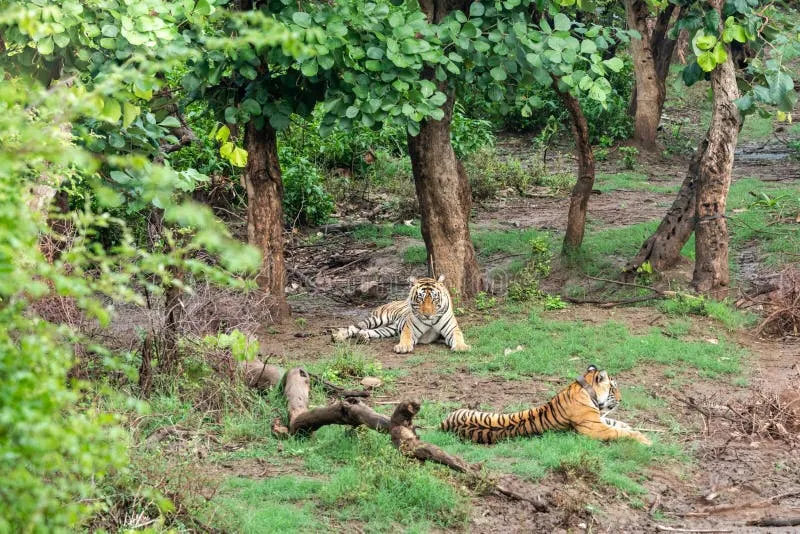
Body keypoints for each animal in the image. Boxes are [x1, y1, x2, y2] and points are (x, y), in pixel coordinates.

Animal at [330, 276, 468, 356]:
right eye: (420, 298)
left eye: (434, 298)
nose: (427, 315)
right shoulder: (410, 328)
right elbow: (405, 337)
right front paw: (403, 347)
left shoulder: (452, 329)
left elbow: (458, 336)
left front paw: (461, 347)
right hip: (377, 319)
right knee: (355, 327)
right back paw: (338, 335)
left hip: (389, 329)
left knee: (371, 331)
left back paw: (362, 337)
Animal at [440, 364, 652, 448]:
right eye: (614, 388)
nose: (622, 399)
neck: (584, 388)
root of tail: (443, 424)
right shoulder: (596, 429)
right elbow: (620, 432)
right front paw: (646, 440)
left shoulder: (599, 419)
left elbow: (620, 424)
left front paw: (638, 430)